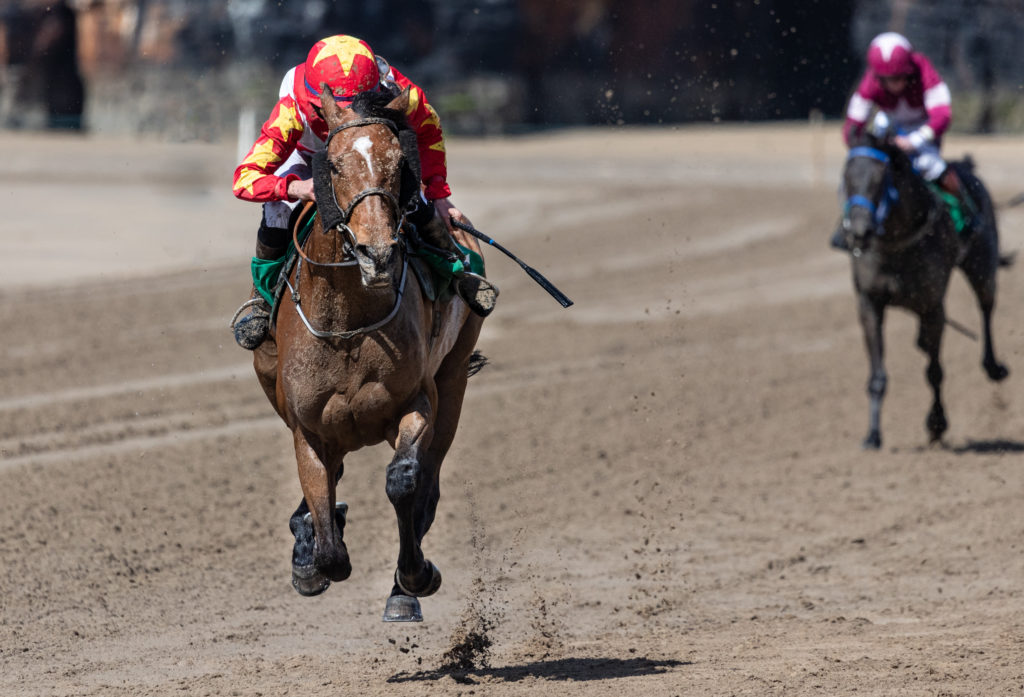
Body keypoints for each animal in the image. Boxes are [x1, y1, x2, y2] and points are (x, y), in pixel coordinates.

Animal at [251, 84, 483, 622]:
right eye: (334, 166)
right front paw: (309, 555)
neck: (349, 325)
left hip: (454, 379)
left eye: (399, 163)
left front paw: (414, 578)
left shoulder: (417, 402)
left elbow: (404, 481)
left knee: (428, 484)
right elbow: (328, 545)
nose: (377, 254)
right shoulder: (307, 427)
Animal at [839, 133, 1007, 448]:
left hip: (982, 266)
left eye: (880, 178)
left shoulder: (932, 307)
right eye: (846, 177)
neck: (896, 243)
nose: (859, 232)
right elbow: (877, 375)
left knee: (986, 308)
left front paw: (937, 424)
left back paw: (993, 366)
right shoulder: (869, 303)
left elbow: (934, 372)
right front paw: (873, 435)